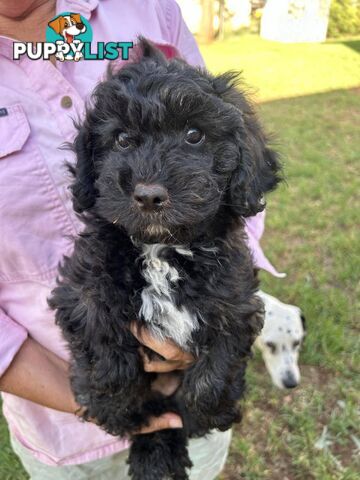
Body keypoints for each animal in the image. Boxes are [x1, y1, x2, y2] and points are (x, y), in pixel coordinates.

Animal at [50, 38, 282, 480]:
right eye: (123, 140)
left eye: (194, 135)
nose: (148, 195)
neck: (162, 249)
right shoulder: (81, 286)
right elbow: (100, 338)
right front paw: (114, 407)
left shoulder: (235, 299)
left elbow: (217, 365)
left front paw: (206, 413)